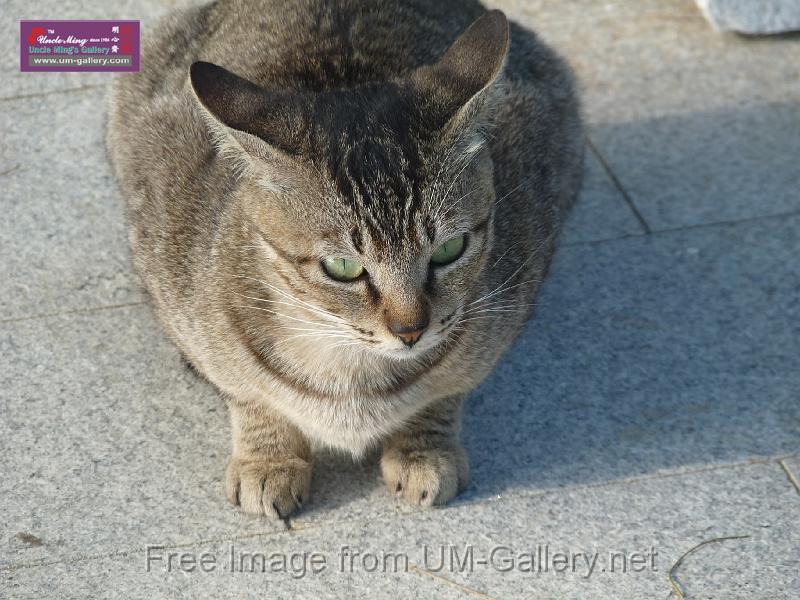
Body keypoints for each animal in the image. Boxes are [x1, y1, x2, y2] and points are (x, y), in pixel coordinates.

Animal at [106, 0, 580, 516]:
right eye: (343, 268)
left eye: (449, 250)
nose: (410, 330)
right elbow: (248, 394)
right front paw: (268, 458)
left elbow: (445, 390)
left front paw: (423, 449)